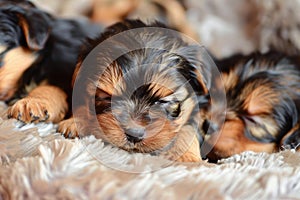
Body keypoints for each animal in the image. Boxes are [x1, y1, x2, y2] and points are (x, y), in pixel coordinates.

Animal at [59, 19, 213, 162]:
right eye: (106, 97)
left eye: (164, 101)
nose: (134, 134)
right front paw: (73, 122)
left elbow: (189, 128)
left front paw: (187, 156)